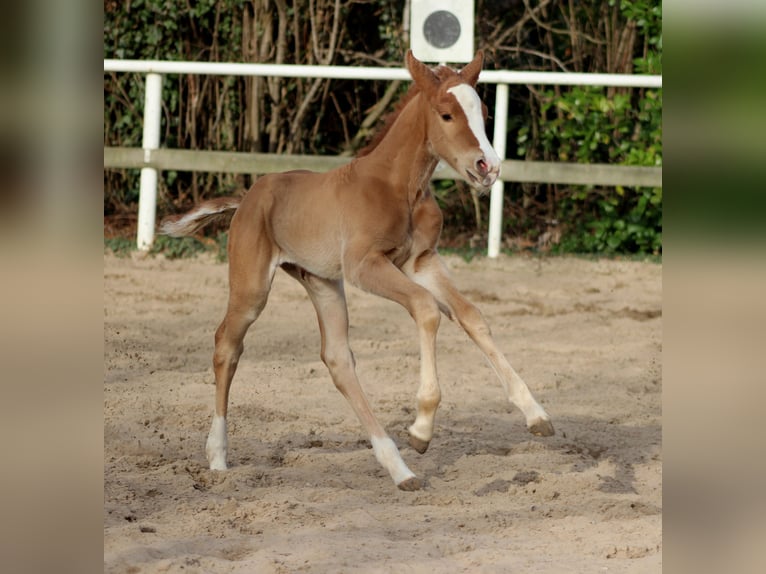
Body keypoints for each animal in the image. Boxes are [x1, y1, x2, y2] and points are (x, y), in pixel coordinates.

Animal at [160, 50, 554, 491]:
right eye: (446, 114)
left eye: (484, 113)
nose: (488, 167)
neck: (399, 186)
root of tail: (247, 197)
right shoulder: (366, 266)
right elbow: (426, 309)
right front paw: (421, 429)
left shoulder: (421, 260)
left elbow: (471, 315)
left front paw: (536, 414)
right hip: (253, 288)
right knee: (227, 345)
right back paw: (217, 456)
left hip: (322, 282)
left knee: (337, 359)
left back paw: (399, 469)